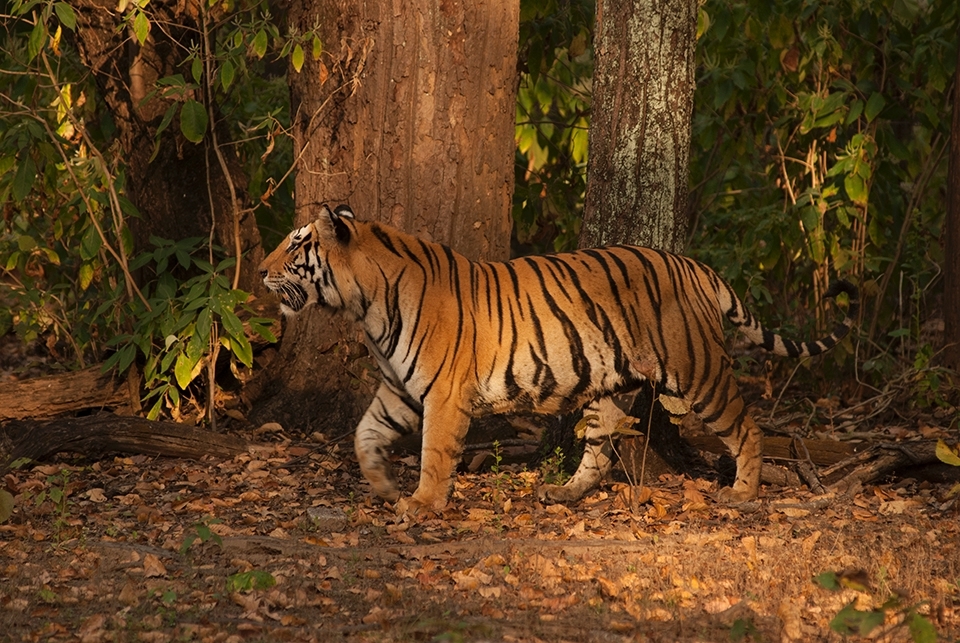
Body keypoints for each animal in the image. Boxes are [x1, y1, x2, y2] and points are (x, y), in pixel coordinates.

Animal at [259, 203, 859, 514]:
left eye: (296, 246)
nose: (261, 272)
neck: (365, 304)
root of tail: (695, 266)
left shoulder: (444, 393)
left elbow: (434, 453)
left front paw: (423, 504)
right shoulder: (400, 388)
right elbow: (364, 435)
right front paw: (383, 485)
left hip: (699, 372)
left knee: (747, 425)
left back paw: (743, 493)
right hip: (607, 384)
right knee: (601, 447)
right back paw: (563, 492)